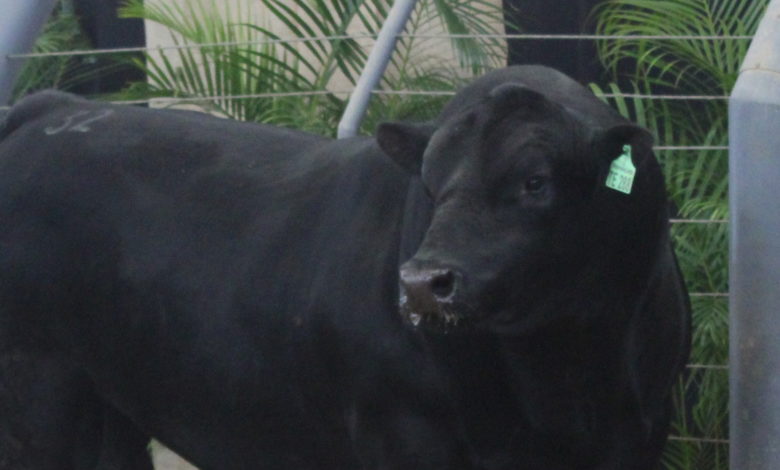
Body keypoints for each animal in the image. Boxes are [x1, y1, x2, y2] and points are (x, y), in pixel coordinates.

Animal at [0, 65, 690, 469]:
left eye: (535, 181)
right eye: (431, 183)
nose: (423, 283)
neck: (563, 371)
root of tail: (53, 108)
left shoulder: (640, 431)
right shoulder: (403, 433)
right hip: (37, 393)